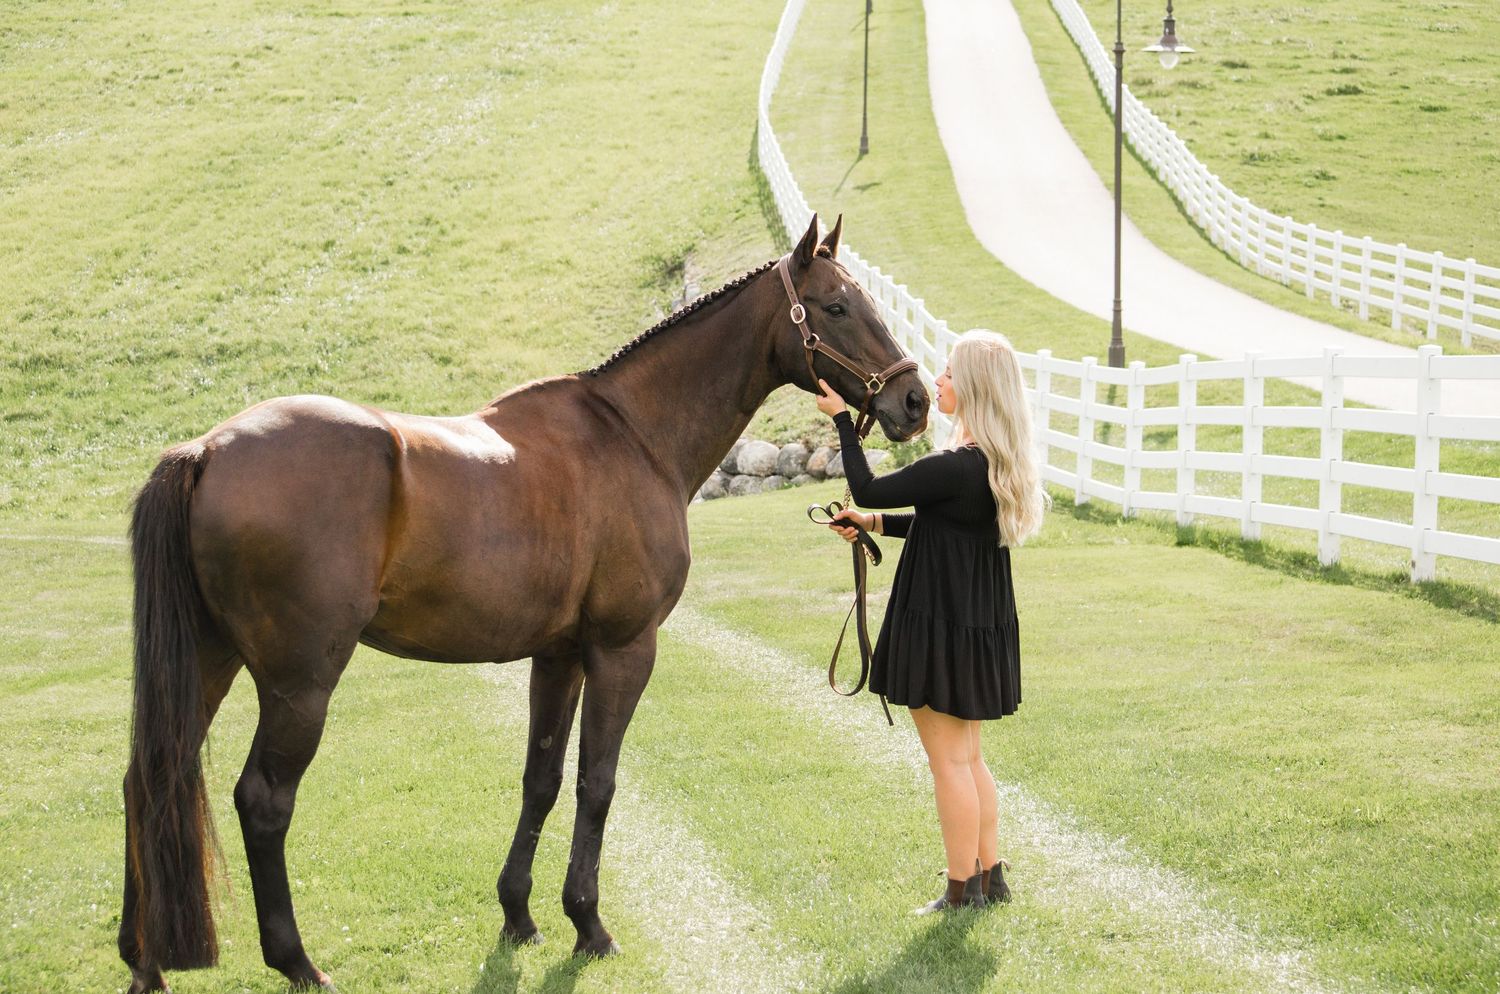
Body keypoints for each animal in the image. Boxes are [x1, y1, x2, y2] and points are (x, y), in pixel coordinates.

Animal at [117, 214, 930, 993]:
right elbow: (598, 782)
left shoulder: (558, 655)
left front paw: (519, 915)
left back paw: (145, 959)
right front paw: (588, 924)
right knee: (263, 801)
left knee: (149, 779)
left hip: (210, 661)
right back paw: (296, 962)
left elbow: (541, 780)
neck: (633, 434)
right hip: (299, 683)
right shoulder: (622, 650)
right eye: (834, 306)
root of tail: (206, 451)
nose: (915, 400)